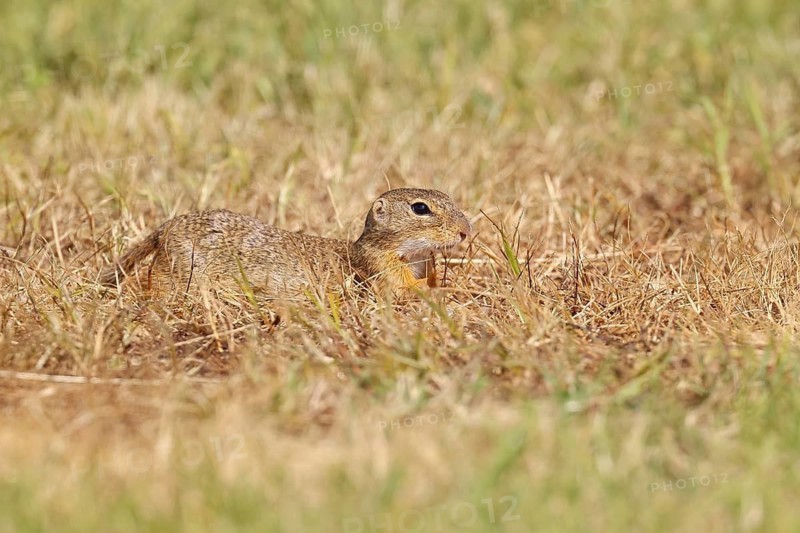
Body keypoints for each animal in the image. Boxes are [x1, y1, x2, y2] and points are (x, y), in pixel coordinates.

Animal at [99, 188, 473, 299]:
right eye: (420, 208)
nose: (466, 231)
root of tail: (166, 227)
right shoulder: (382, 270)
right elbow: (405, 290)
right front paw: (448, 289)